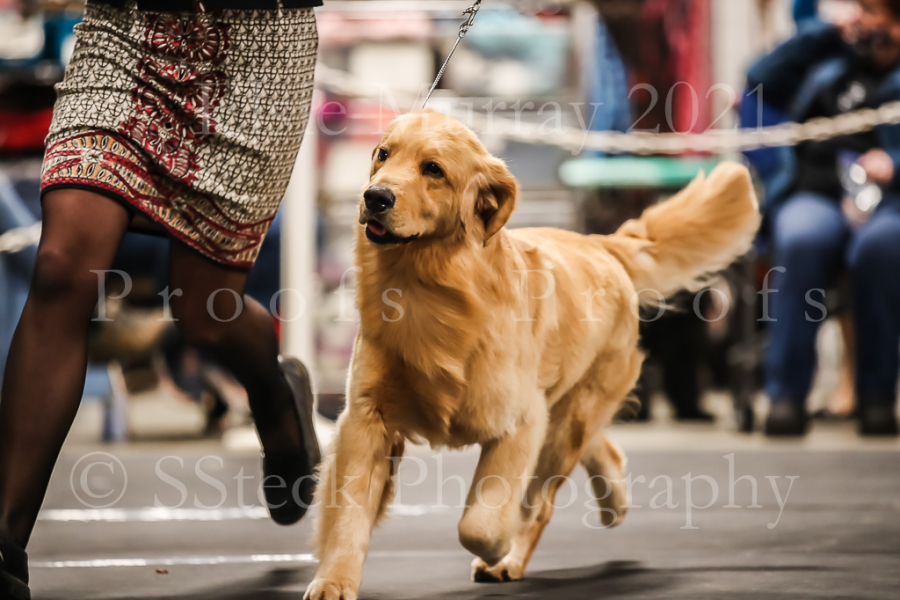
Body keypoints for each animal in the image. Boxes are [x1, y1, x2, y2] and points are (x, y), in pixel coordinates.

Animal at [304, 111, 760, 600]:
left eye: (433, 170)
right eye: (383, 154)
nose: (375, 196)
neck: (428, 288)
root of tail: (603, 244)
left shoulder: (520, 422)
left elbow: (481, 524)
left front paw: (500, 546)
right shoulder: (365, 419)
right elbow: (348, 514)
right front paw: (334, 580)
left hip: (563, 422)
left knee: (542, 499)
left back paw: (513, 557)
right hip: (566, 415)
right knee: (601, 448)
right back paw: (614, 502)